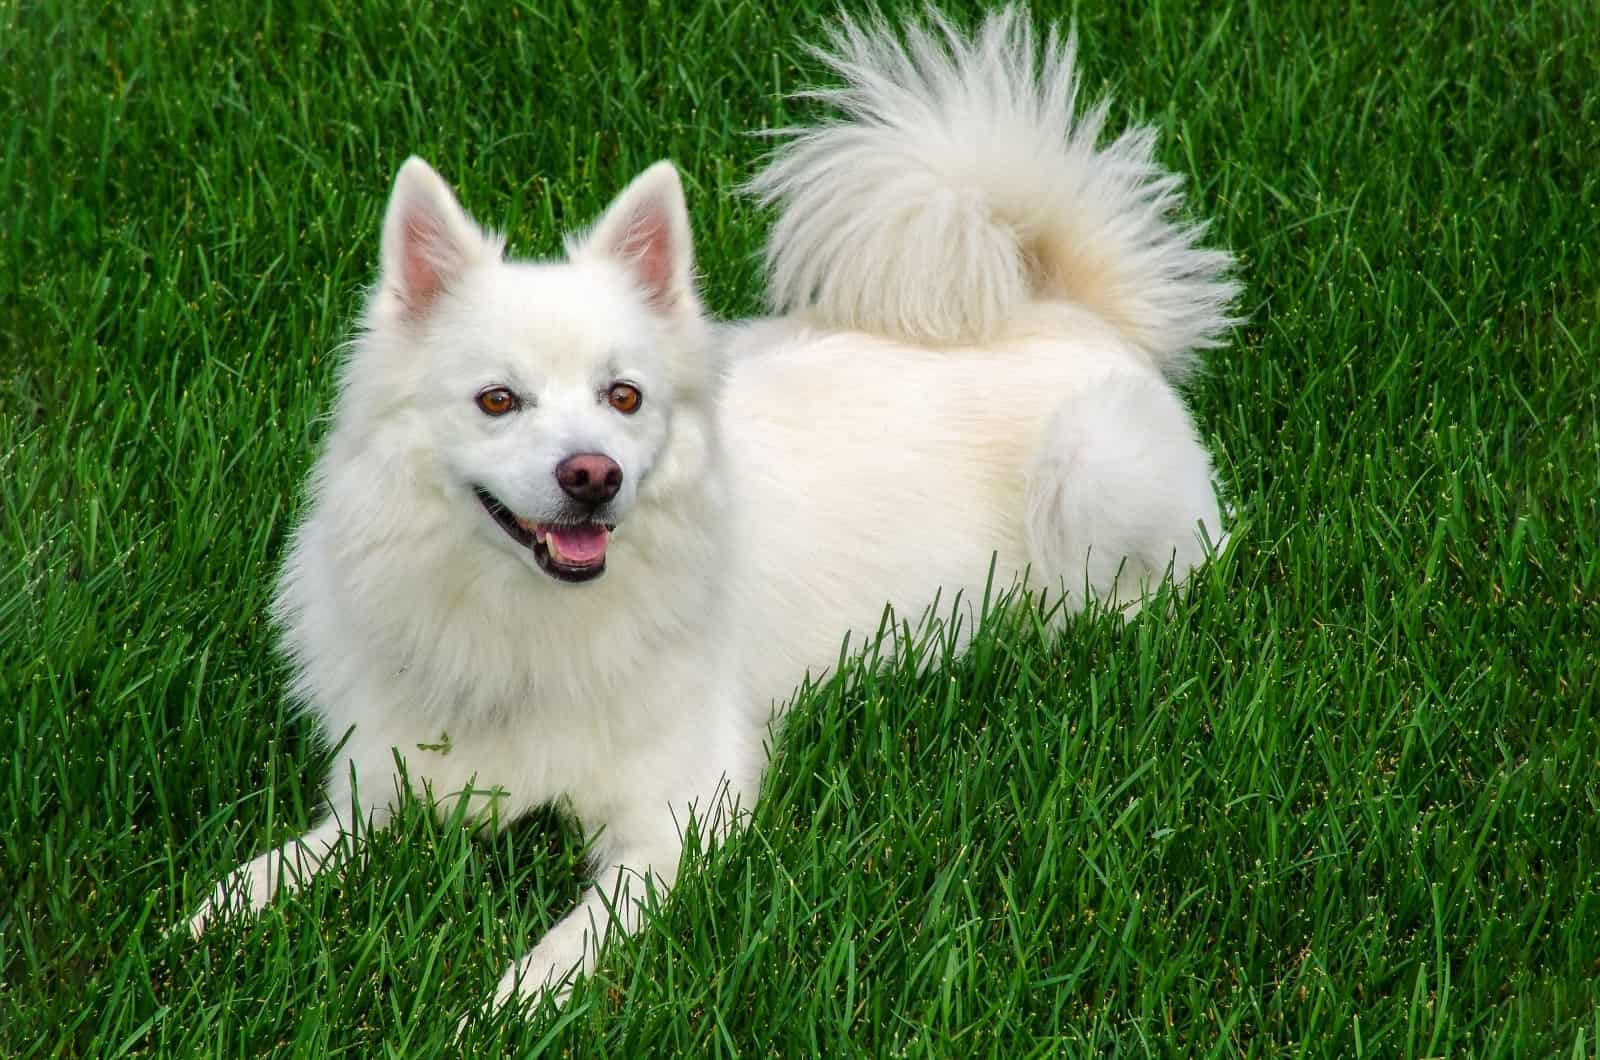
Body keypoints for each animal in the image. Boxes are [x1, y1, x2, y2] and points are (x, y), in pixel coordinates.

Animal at [184, 6, 1235, 1024]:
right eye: (497, 401)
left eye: (624, 397)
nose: (593, 475)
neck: (527, 622)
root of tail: (1073, 313)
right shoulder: (386, 786)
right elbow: (305, 853)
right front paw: (218, 912)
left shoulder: (681, 813)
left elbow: (581, 933)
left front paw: (514, 1002)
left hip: (1093, 467)